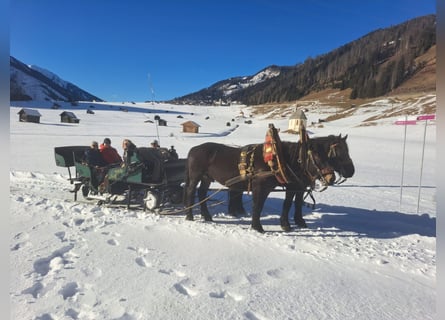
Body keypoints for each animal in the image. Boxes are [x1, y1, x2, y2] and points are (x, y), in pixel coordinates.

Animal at [181, 141, 332, 232]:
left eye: (328, 157)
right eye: (317, 158)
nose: (331, 178)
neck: (276, 160)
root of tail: (193, 149)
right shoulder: (260, 187)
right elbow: (258, 205)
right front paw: (257, 227)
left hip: (206, 178)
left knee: (201, 193)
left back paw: (206, 216)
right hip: (195, 176)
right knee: (190, 192)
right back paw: (189, 215)